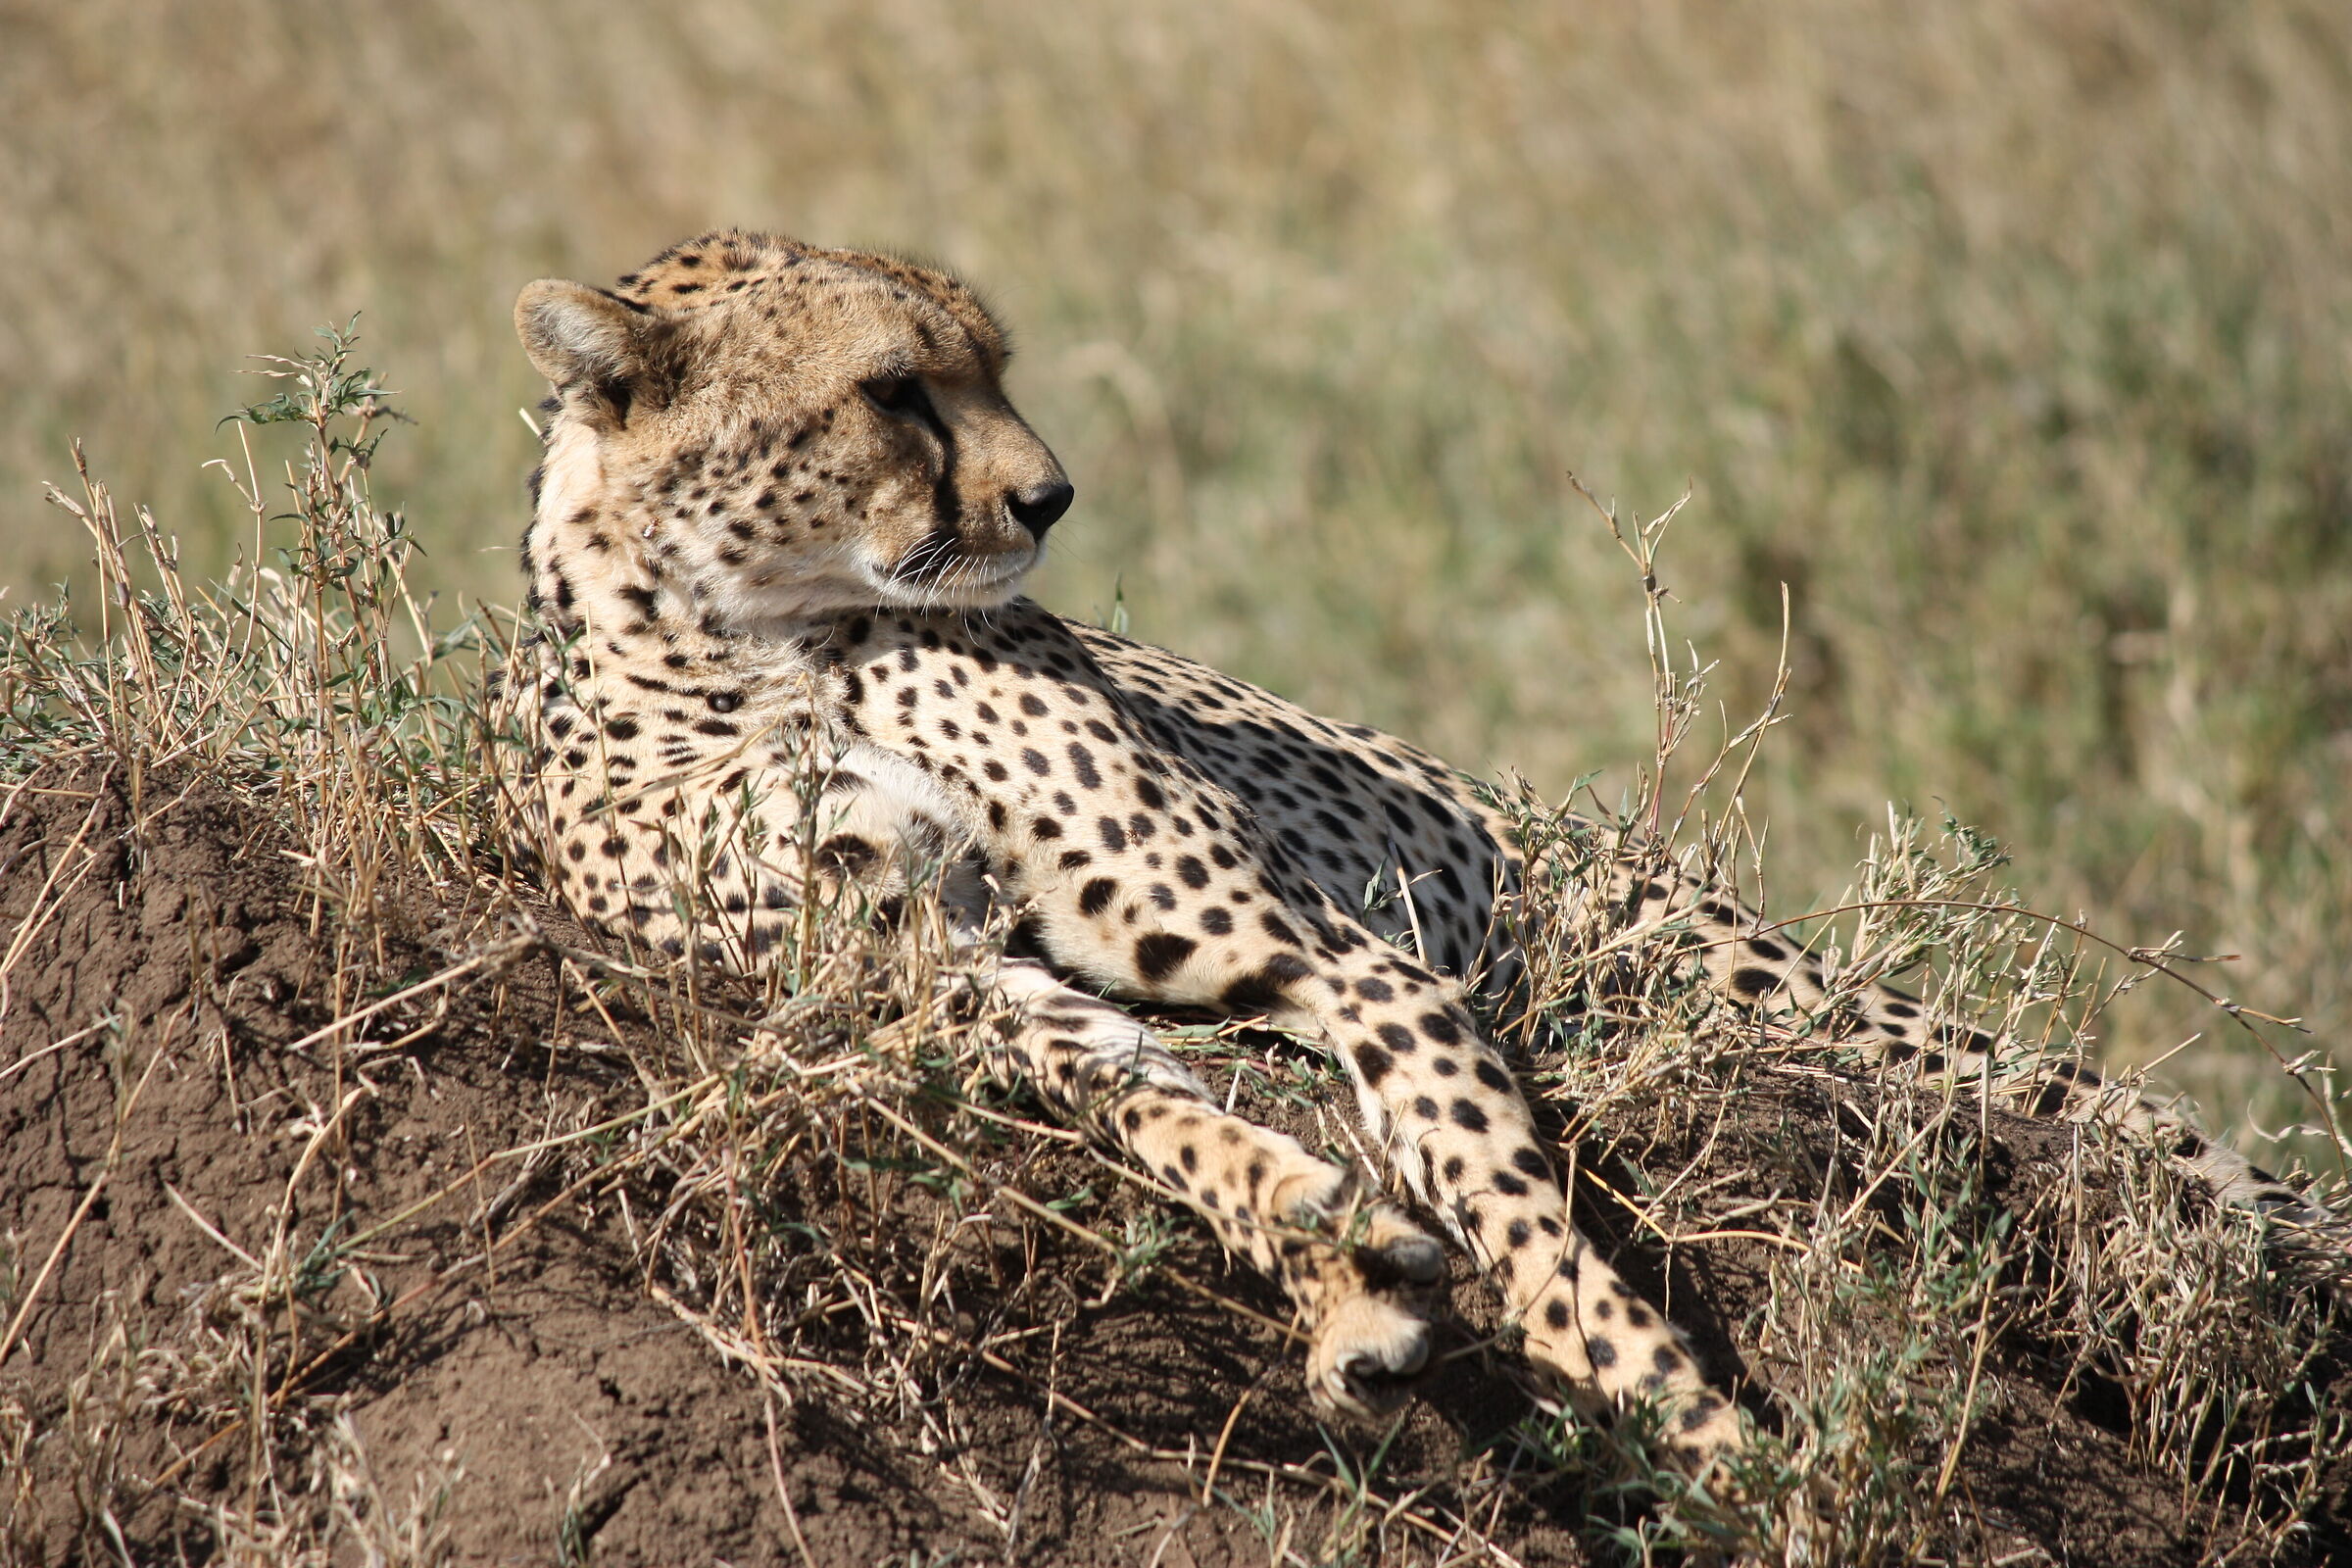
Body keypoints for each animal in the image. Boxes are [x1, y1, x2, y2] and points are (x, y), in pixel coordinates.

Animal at [493, 229, 2341, 1479]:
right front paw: (1336, 1268)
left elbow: (1522, 1216)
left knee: (2134, 1131)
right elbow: (1156, 1111)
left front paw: (1680, 1421)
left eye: (994, 367)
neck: (748, 635)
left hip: (1768, 999)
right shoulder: (941, 975)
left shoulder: (1326, 947)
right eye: (892, 390)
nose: (1051, 498)